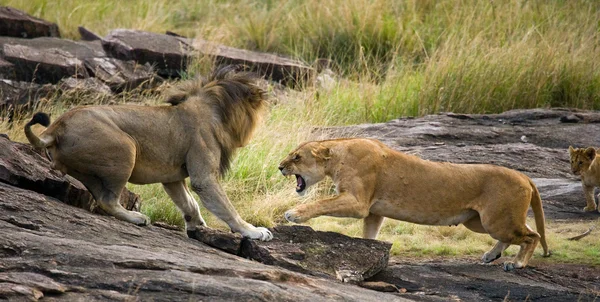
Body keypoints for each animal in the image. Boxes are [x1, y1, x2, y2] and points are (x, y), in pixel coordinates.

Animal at [25, 66, 272, 241]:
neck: (216, 113)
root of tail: (55, 128)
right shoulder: (204, 177)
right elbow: (225, 206)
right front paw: (253, 231)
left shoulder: (172, 177)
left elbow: (188, 202)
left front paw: (196, 224)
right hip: (127, 148)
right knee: (107, 201)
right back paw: (138, 218)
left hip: (90, 169)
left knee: (100, 197)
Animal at [278, 138, 552, 270]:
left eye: (297, 157)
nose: (279, 167)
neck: (338, 154)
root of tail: (524, 176)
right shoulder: (373, 211)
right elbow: (369, 235)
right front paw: (370, 255)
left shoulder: (358, 203)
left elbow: (322, 202)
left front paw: (294, 214)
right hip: (479, 221)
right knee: (519, 234)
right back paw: (490, 255)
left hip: (496, 220)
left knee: (533, 235)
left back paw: (516, 263)